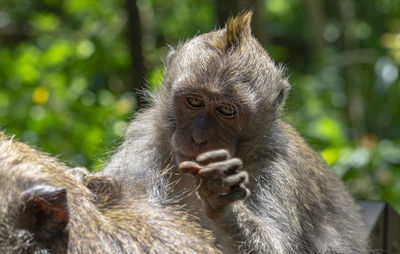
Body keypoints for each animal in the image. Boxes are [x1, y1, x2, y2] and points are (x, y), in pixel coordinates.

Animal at [102, 11, 368, 254]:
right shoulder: (145, 138)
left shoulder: (278, 165)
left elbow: (276, 247)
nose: (199, 138)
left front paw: (224, 201)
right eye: (194, 102)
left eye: (227, 110)